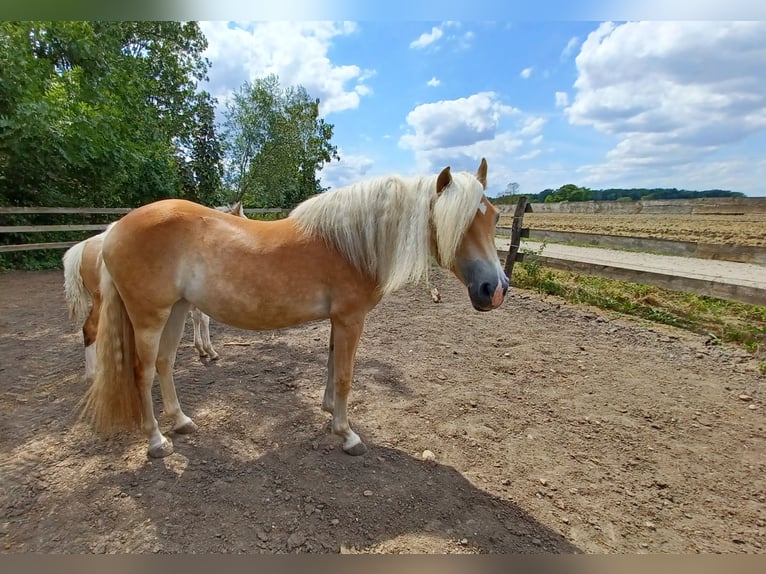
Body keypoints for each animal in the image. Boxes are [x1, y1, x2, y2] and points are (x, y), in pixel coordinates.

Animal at [62, 201, 246, 378]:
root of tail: (84, 245)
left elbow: (197, 318)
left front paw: (201, 350)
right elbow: (204, 319)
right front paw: (210, 351)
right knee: (91, 329)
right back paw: (93, 375)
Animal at [81, 161, 510, 460]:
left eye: (494, 217)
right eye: (456, 222)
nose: (495, 289)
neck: (351, 243)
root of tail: (113, 230)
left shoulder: (339, 321)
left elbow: (332, 365)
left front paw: (329, 413)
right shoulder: (351, 318)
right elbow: (346, 377)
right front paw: (347, 434)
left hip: (177, 310)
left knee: (165, 364)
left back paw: (182, 421)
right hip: (149, 317)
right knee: (142, 372)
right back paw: (156, 442)